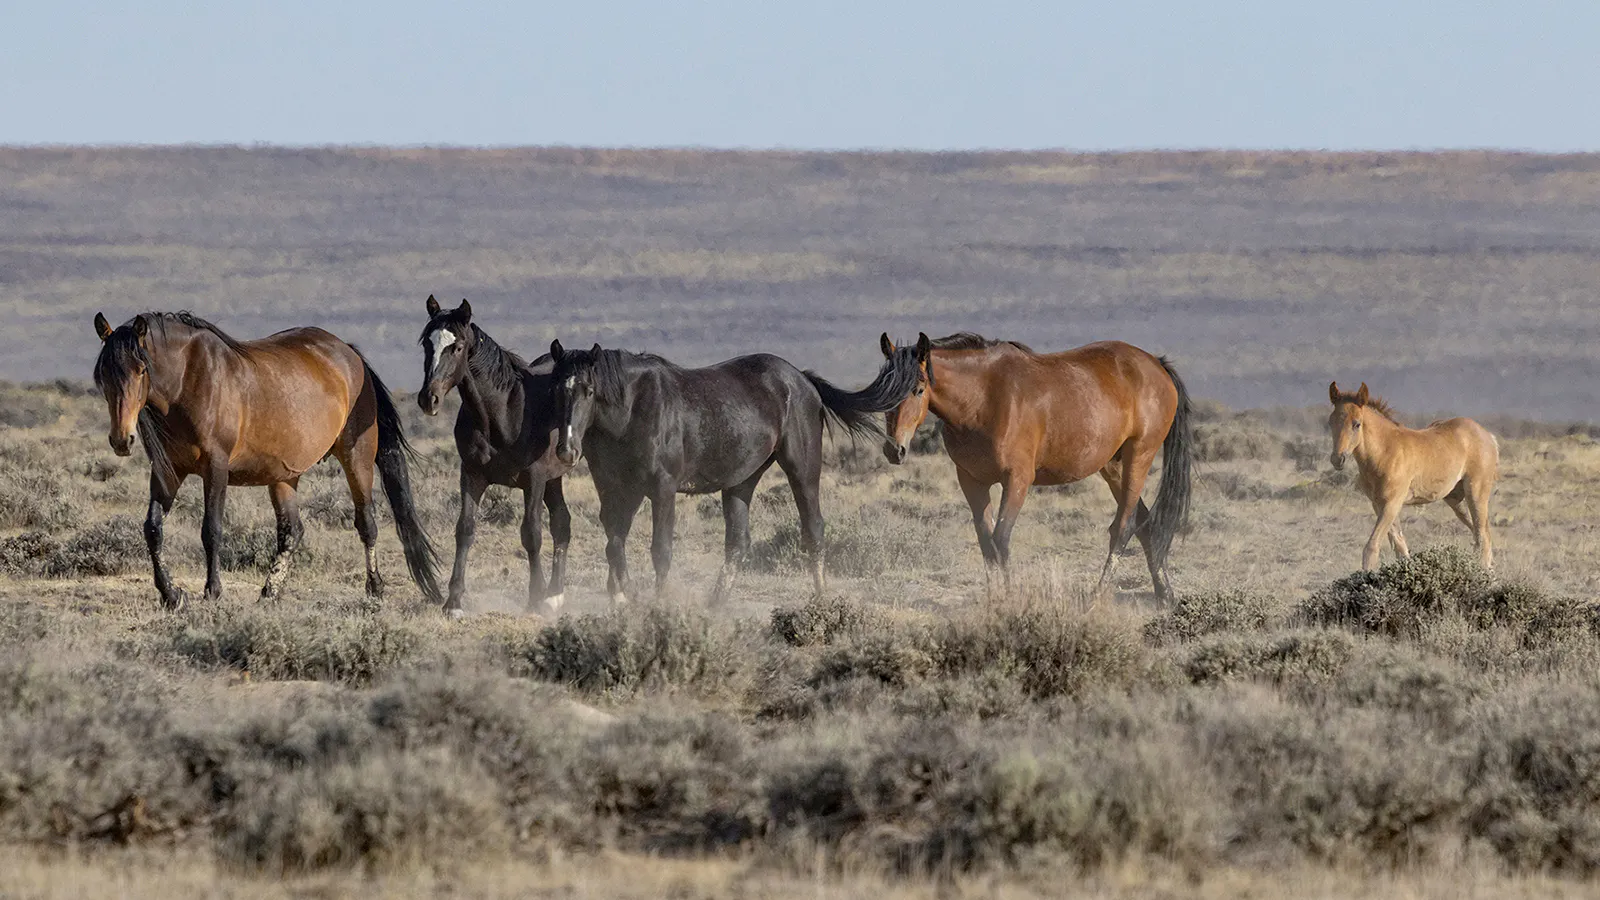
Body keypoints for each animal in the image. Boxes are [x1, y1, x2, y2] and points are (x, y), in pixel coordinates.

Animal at [91, 311, 441, 611]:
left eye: (141, 369)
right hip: (285, 476)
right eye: (103, 374)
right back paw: (269, 593)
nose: (122, 439)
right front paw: (171, 594)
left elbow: (211, 529)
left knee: (366, 523)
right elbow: (153, 529)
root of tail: (350, 355)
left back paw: (375, 589)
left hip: (357, 456)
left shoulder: (215, 468)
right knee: (292, 531)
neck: (190, 380)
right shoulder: (168, 472)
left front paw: (212, 591)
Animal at [417, 296, 574, 618]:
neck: (504, 412)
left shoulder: (534, 479)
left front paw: (535, 598)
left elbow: (531, 533)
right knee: (562, 523)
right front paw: (454, 602)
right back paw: (556, 596)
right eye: (427, 343)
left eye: (457, 346)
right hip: (555, 478)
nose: (429, 399)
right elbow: (465, 529)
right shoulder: (472, 474)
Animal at [547, 341, 917, 604]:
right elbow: (614, 544)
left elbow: (660, 550)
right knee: (738, 541)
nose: (566, 449)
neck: (633, 409)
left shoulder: (661, 489)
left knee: (813, 530)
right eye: (556, 389)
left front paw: (656, 602)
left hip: (802, 470)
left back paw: (821, 597)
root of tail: (802, 380)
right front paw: (624, 597)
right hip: (741, 481)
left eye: (589, 390)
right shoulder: (614, 488)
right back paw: (716, 602)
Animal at [876, 333, 1193, 601]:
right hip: (1112, 466)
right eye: (882, 388)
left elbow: (1001, 539)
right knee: (1146, 524)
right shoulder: (972, 481)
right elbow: (986, 543)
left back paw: (1097, 597)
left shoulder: (1017, 479)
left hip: (1138, 457)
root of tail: (1156, 364)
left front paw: (1010, 599)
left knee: (1123, 528)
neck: (984, 398)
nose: (894, 449)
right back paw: (1165, 594)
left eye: (918, 389)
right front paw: (995, 600)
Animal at [1327, 382, 1498, 571]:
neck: (1385, 451)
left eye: (1357, 424)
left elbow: (1372, 547)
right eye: (1330, 422)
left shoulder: (1392, 503)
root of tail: (1488, 436)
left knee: (1482, 537)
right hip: (1456, 499)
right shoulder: (1378, 504)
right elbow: (1400, 547)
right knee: (1482, 534)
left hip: (1476, 494)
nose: (1337, 459)